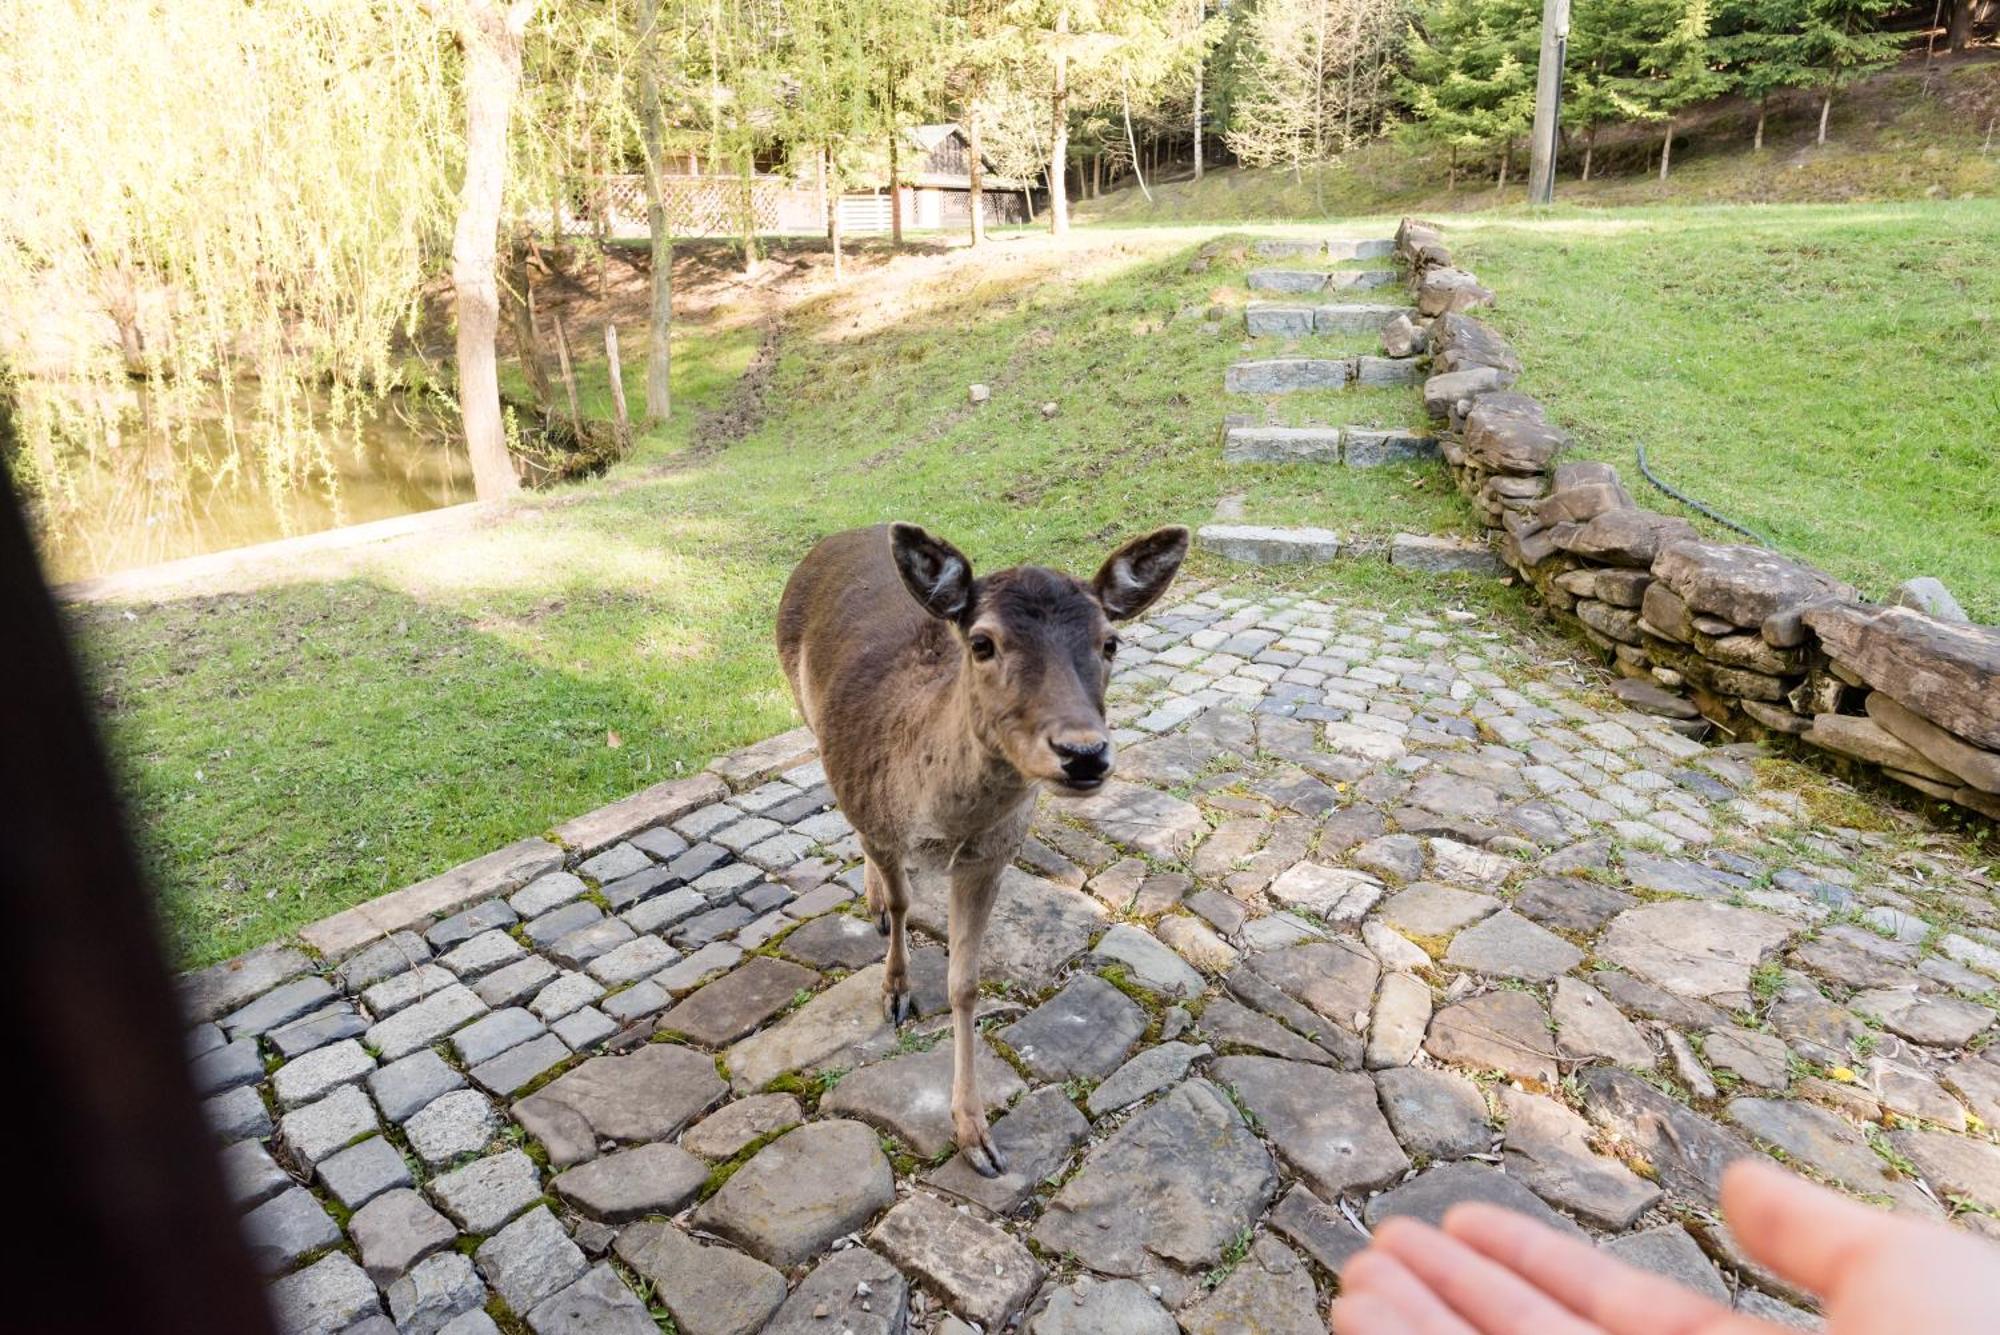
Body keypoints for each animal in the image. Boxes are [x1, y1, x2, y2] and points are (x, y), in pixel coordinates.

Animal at [776, 527, 1184, 1175]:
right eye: (982, 642)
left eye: (1110, 642)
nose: (1084, 753)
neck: (938, 821)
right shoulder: (879, 821)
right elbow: (902, 903)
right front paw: (895, 992)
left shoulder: (990, 856)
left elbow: (965, 983)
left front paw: (975, 1134)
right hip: (805, 712)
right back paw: (871, 903)